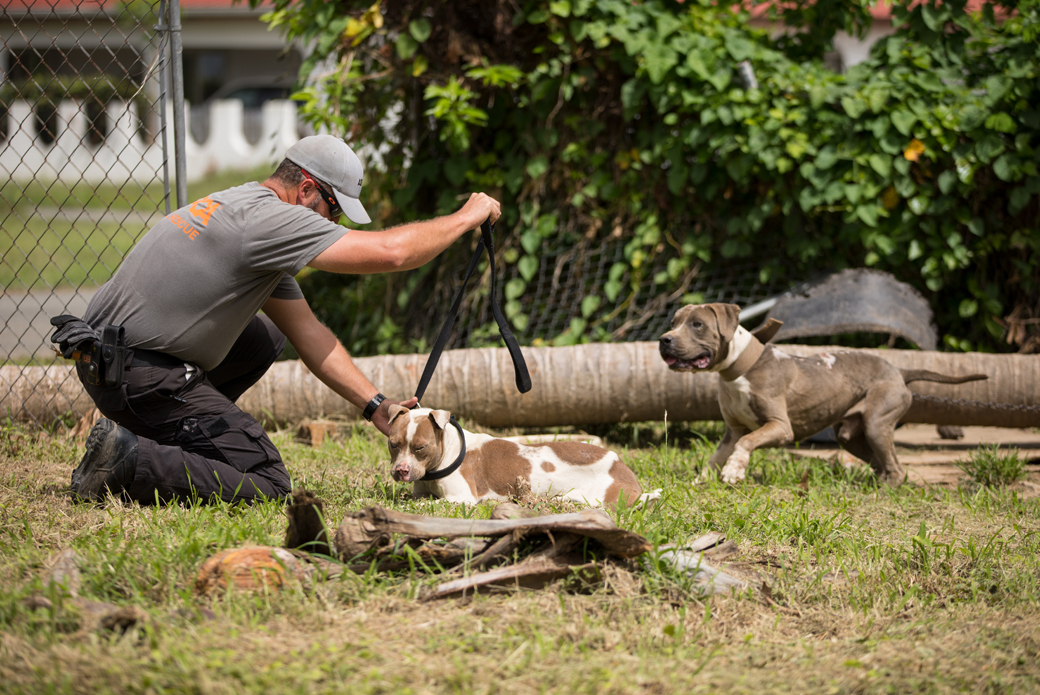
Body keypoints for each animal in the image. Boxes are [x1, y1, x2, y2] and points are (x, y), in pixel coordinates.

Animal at [386, 403, 640, 507]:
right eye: (392, 444)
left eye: (421, 447)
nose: (401, 470)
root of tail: (622, 467)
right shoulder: (420, 491)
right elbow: (416, 498)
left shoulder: (462, 497)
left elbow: (430, 502)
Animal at [661, 301, 985, 486]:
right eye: (673, 324)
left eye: (697, 324)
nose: (664, 340)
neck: (739, 370)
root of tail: (898, 370)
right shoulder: (732, 430)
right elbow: (716, 457)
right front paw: (701, 480)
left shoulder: (780, 427)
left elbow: (747, 443)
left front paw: (734, 472)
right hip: (851, 435)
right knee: (879, 461)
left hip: (877, 423)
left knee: (895, 467)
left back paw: (886, 489)